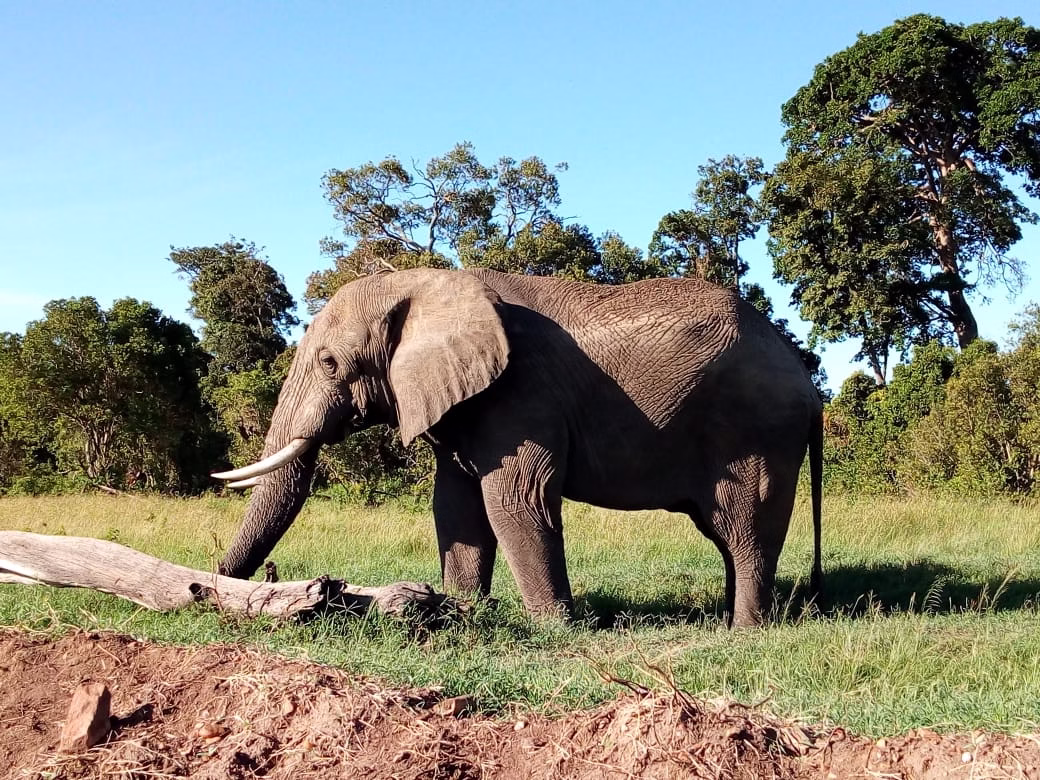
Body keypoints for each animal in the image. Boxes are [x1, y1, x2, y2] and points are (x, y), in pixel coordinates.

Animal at [213, 268, 823, 628]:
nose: (210, 587)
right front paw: (461, 609)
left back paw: (744, 631)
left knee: (746, 529)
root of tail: (807, 381)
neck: (427, 283)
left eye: (329, 363)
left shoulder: (522, 395)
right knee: (726, 534)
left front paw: (554, 627)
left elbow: (514, 501)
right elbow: (455, 506)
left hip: (757, 434)